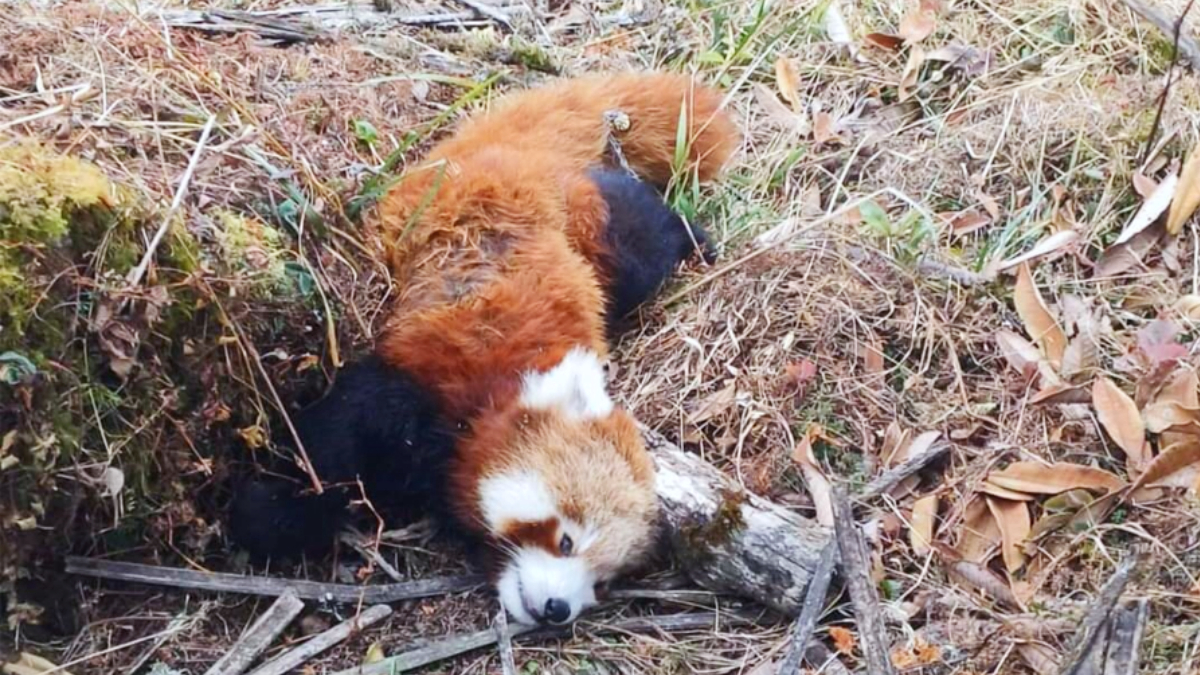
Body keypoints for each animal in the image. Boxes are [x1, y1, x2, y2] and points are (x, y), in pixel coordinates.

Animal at [228, 70, 734, 624]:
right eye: (565, 540)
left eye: (603, 581)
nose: (558, 609)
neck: (489, 402)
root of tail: (508, 149)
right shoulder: (420, 379)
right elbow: (331, 446)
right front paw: (269, 511)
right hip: (592, 219)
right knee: (640, 225)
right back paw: (692, 235)